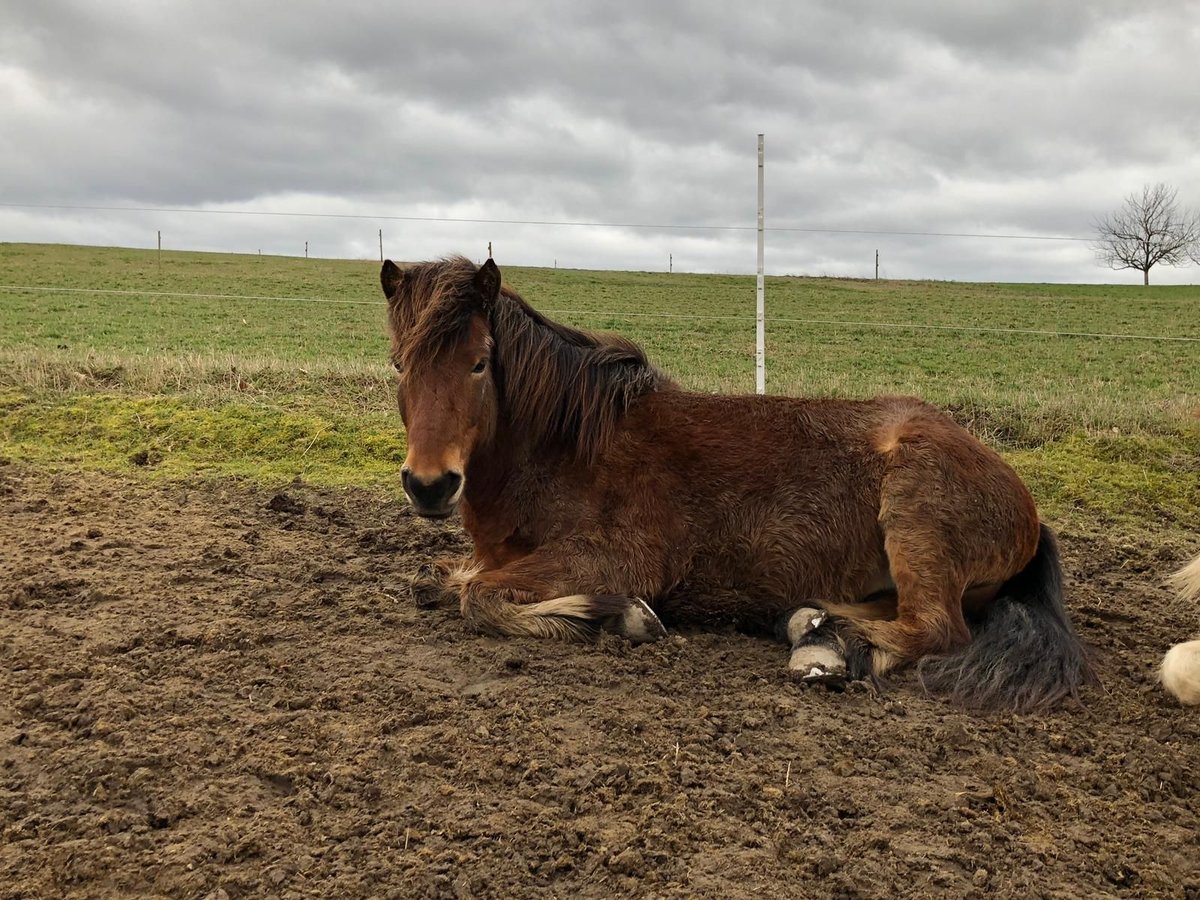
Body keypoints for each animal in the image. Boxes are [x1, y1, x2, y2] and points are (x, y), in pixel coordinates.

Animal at [386, 256, 1099, 715]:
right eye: (399, 364)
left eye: (479, 363)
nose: (429, 485)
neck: (568, 446)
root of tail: (1026, 508)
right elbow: (448, 583)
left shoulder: (612, 558)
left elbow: (478, 597)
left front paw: (618, 616)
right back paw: (815, 628)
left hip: (916, 516)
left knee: (937, 628)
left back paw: (834, 650)